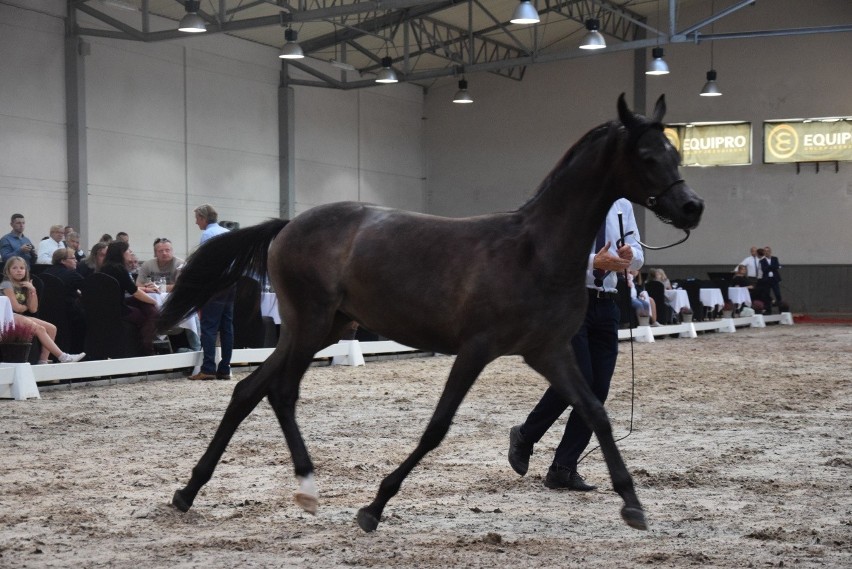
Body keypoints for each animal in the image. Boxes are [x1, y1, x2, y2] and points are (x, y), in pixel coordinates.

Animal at [161, 94, 704, 532]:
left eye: (675, 152)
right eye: (647, 155)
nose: (691, 207)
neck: (536, 250)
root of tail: (289, 224)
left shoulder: (549, 351)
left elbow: (595, 412)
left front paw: (632, 505)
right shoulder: (477, 349)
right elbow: (437, 427)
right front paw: (373, 508)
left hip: (320, 328)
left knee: (249, 390)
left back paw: (189, 492)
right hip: (310, 324)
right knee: (281, 392)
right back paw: (306, 489)